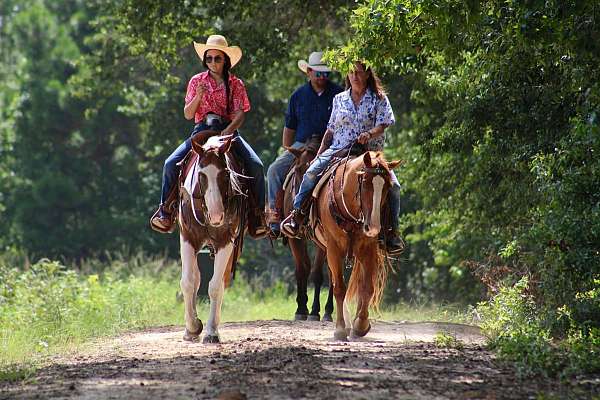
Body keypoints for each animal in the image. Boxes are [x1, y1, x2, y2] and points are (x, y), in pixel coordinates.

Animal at [177, 130, 247, 342]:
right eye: (201, 174)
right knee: (195, 278)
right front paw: (192, 327)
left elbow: (215, 286)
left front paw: (210, 332)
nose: (216, 216)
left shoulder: (226, 241)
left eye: (225, 173)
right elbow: (188, 282)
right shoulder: (187, 238)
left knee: (220, 282)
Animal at [284, 138, 336, 322]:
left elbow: (317, 273)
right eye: (298, 168)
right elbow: (302, 268)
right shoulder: (294, 238)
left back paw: (327, 311)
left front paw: (315, 310)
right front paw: (301, 308)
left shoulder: (322, 241)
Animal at [310, 152, 404, 340]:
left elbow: (367, 288)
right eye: (365, 182)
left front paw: (361, 324)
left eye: (387, 187)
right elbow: (339, 288)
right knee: (335, 282)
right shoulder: (333, 249)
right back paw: (346, 324)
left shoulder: (368, 249)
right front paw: (340, 329)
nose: (374, 228)